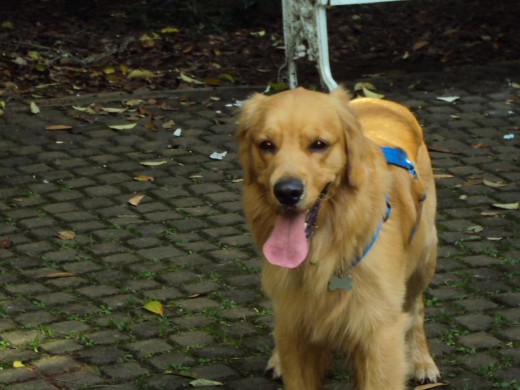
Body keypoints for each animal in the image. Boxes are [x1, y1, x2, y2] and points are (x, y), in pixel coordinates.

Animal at [238, 88, 440, 390]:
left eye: (319, 144)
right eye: (267, 145)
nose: (287, 192)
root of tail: (382, 102)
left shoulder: (379, 331)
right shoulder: (296, 326)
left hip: (424, 255)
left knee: (416, 308)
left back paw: (422, 361)